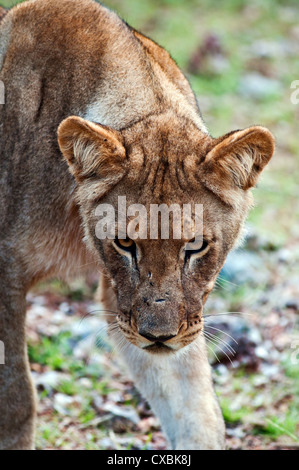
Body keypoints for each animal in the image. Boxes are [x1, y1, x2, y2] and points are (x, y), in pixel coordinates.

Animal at [0, 0, 276, 450]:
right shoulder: (6, 273)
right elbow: (15, 396)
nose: (158, 337)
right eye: (125, 244)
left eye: (195, 246)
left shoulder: (139, 305)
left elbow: (194, 407)